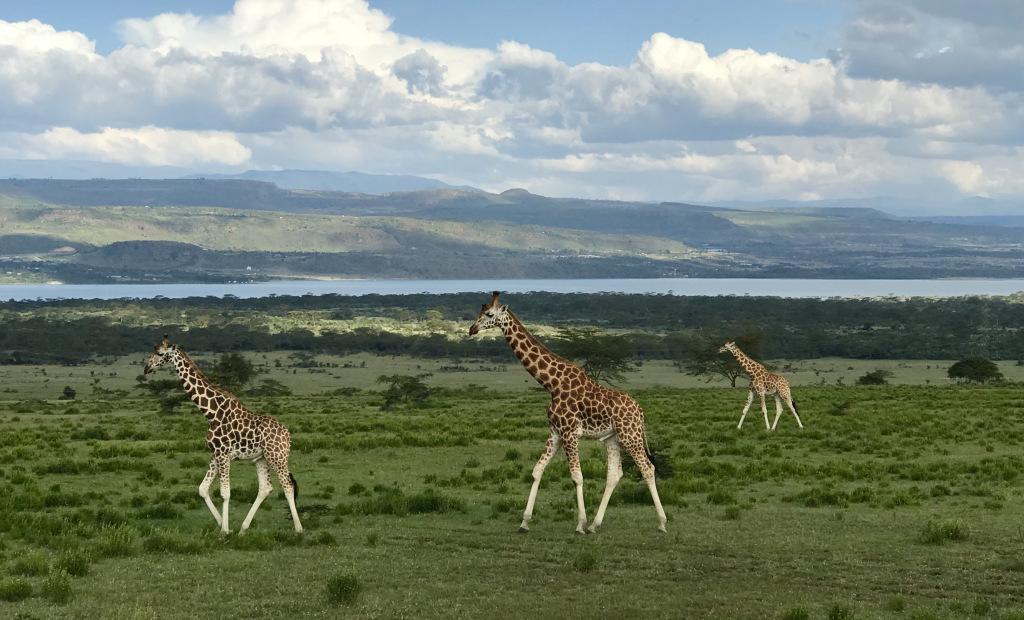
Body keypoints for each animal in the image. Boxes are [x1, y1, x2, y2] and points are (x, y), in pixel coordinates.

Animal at [143, 336, 303, 534]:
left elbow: (225, 493)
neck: (211, 412)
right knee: (266, 488)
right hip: (261, 458)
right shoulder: (216, 454)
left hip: (277, 456)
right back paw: (243, 528)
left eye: (159, 353)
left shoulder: (223, 454)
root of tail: (287, 435)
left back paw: (298, 529)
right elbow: (203, 489)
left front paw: (224, 531)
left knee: (287, 486)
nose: (147, 368)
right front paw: (222, 524)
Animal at [469, 292, 667, 534]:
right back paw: (595, 524)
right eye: (479, 312)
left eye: (489, 314)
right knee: (615, 474)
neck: (551, 384)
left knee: (647, 468)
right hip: (612, 437)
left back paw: (661, 523)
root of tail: (640, 411)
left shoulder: (570, 432)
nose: (471, 329)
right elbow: (537, 470)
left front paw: (580, 524)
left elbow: (577, 477)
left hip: (631, 436)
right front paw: (524, 522)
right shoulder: (555, 432)